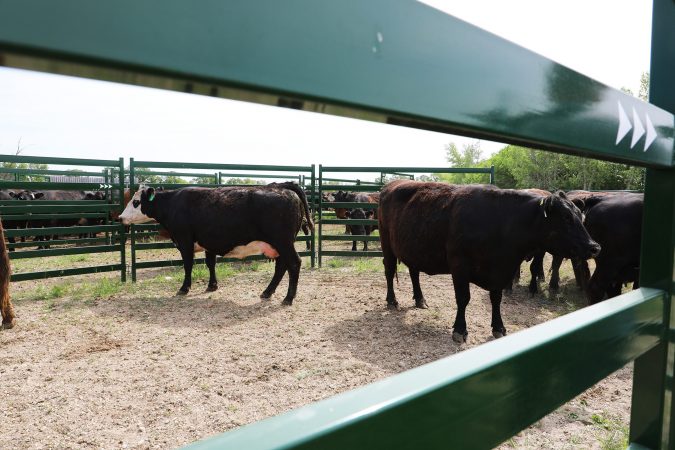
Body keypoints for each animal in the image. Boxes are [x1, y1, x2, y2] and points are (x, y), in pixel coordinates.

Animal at [119, 181, 314, 304]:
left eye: (136, 202)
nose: (120, 217)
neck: (174, 203)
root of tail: (282, 187)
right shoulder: (208, 242)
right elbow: (210, 263)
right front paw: (212, 285)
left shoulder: (184, 240)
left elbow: (188, 265)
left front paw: (184, 288)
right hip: (280, 244)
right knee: (281, 266)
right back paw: (267, 292)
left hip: (283, 242)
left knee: (294, 263)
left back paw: (288, 298)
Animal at [380, 181, 604, 342]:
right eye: (566, 217)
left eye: (581, 215)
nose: (595, 247)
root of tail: (391, 185)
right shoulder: (459, 266)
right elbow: (463, 298)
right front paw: (460, 330)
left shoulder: (501, 271)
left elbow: (496, 299)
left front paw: (499, 327)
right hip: (387, 244)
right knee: (389, 272)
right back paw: (392, 300)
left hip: (412, 249)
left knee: (414, 272)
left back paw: (420, 299)